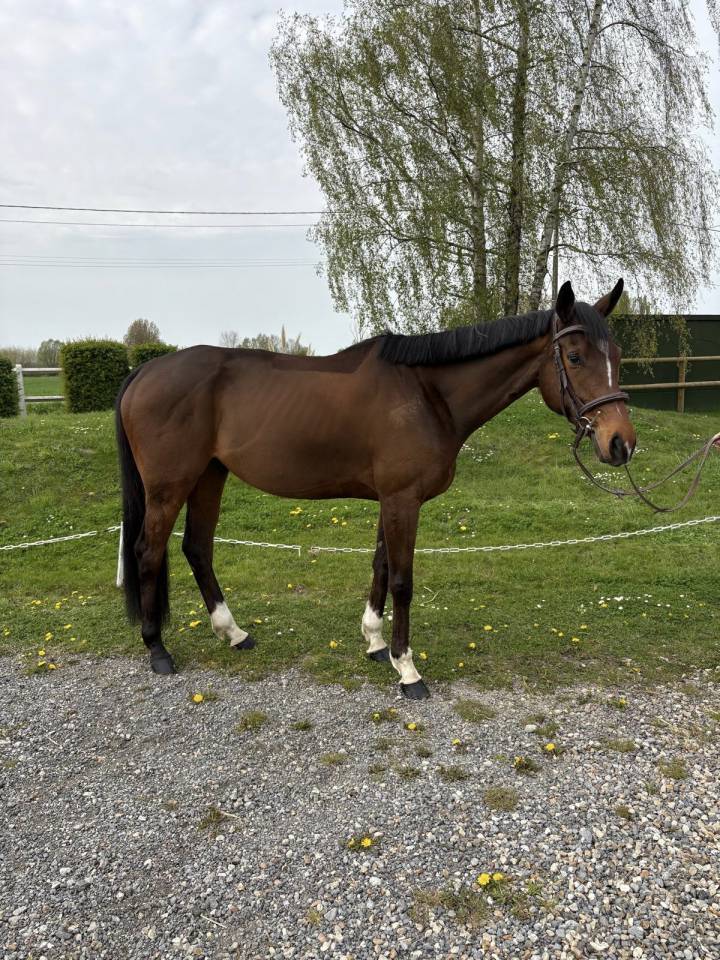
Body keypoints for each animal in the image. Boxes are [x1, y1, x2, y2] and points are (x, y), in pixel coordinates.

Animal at [116, 278, 635, 698]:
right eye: (575, 357)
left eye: (618, 357)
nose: (621, 443)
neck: (427, 394)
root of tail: (145, 371)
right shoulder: (403, 499)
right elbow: (403, 580)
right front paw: (407, 670)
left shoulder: (392, 499)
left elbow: (381, 566)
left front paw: (375, 642)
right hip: (170, 485)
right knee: (147, 550)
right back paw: (157, 649)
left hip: (210, 475)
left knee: (197, 547)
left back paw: (234, 633)